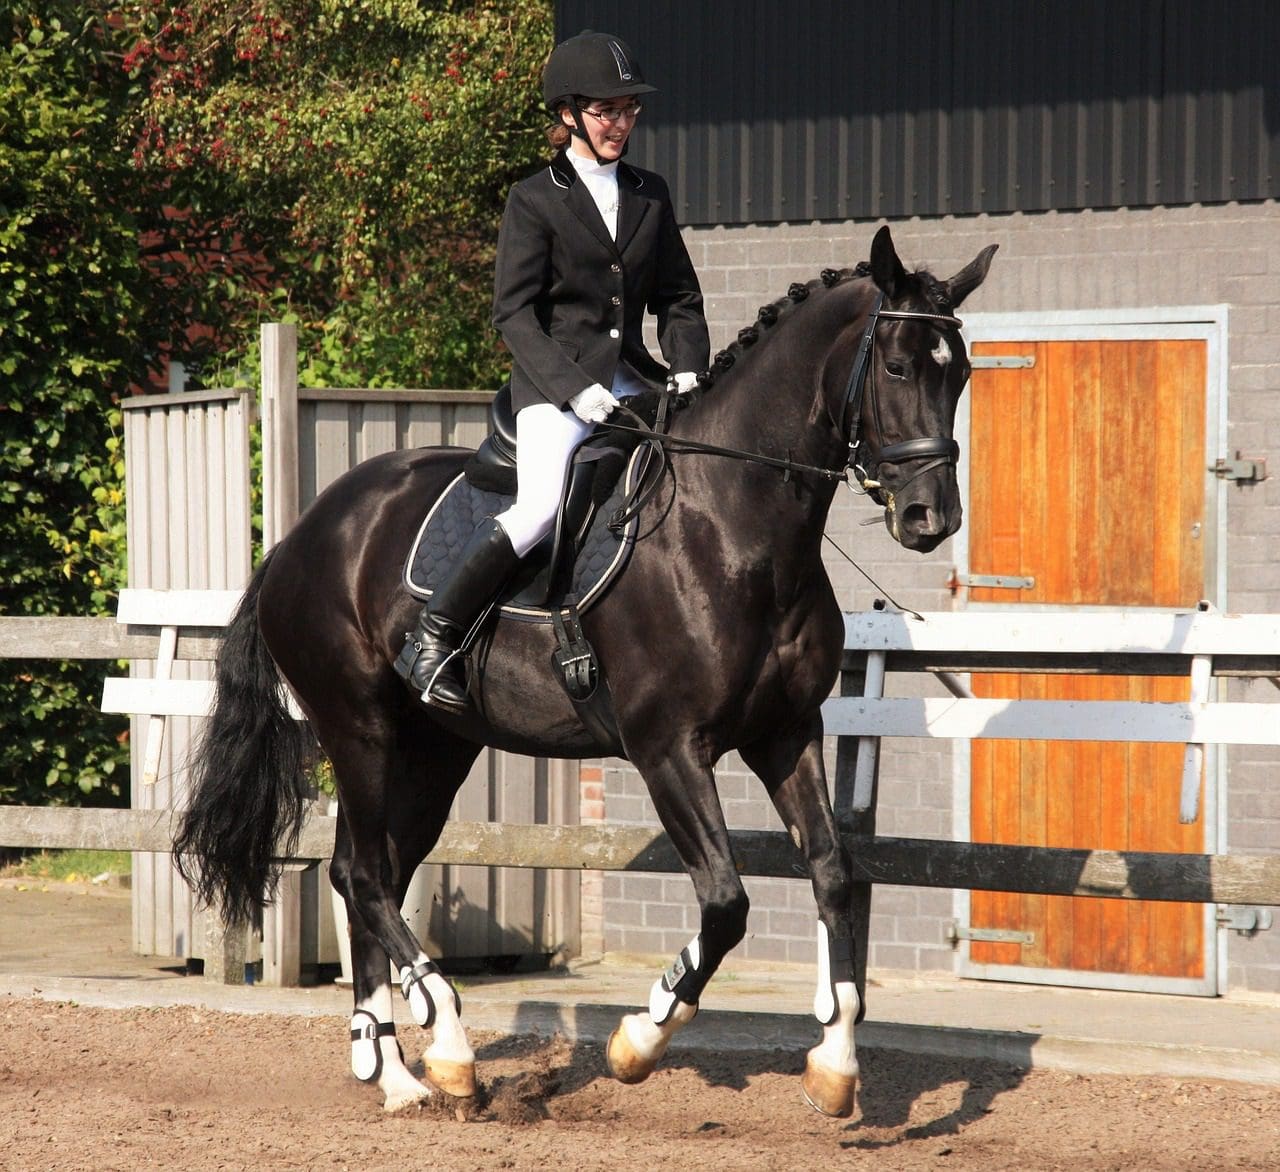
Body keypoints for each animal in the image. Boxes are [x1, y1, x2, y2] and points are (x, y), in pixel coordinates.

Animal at [177, 226, 998, 1115]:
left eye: (960, 372)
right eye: (898, 367)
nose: (930, 518)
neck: (734, 523)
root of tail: (302, 534)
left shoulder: (786, 733)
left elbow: (836, 876)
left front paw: (836, 1066)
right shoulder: (668, 748)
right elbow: (726, 902)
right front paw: (641, 1037)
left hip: (434, 749)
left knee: (371, 873)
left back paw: (395, 1071)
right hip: (359, 731)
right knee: (363, 875)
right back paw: (448, 1043)